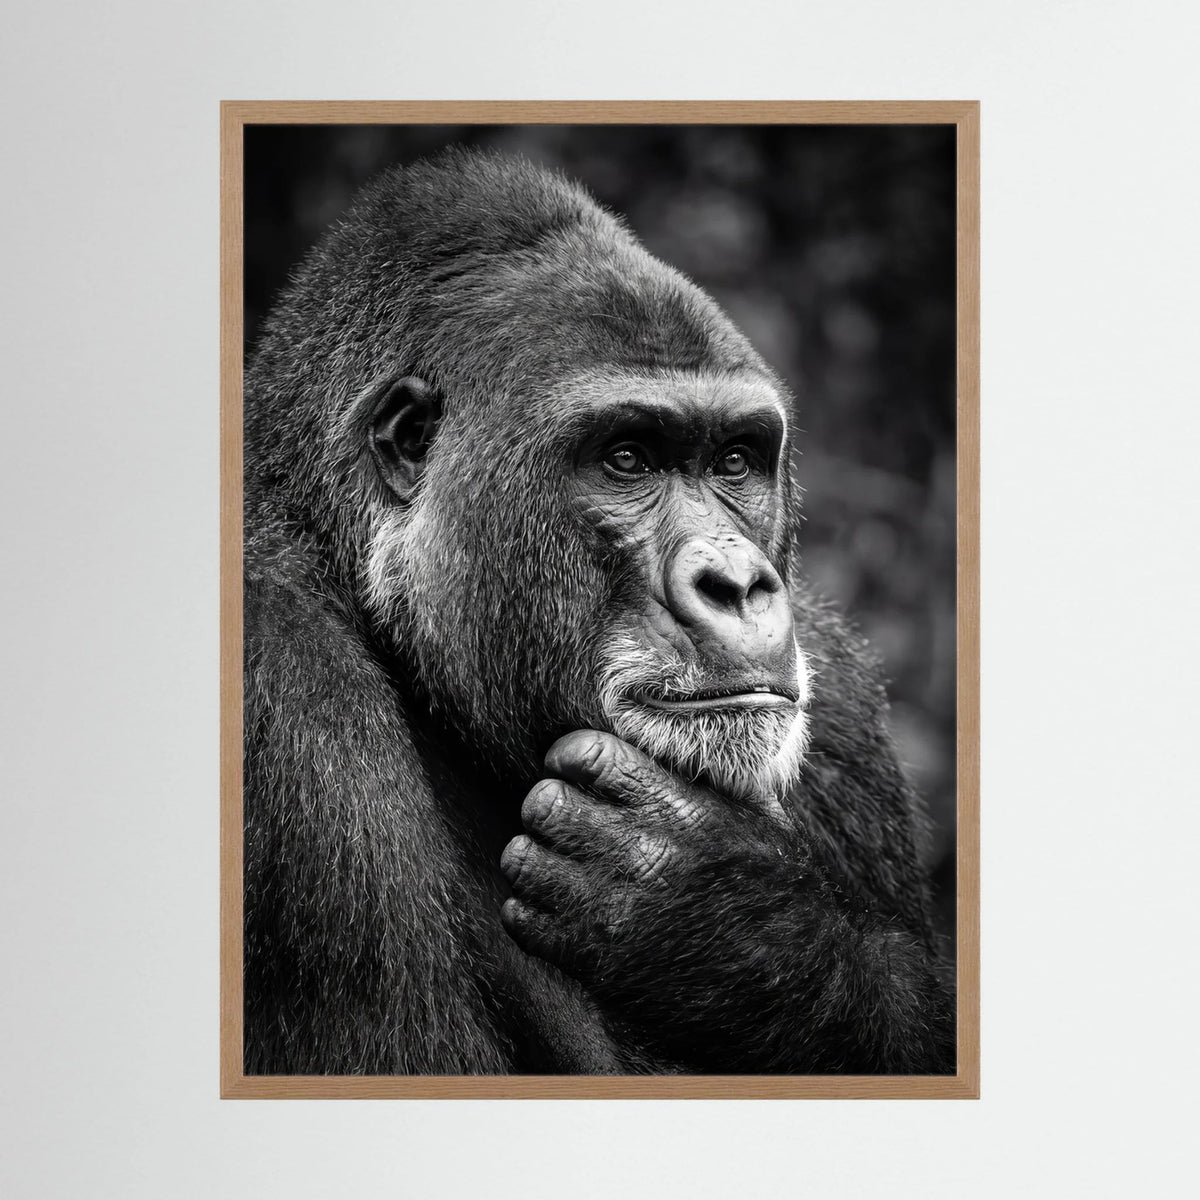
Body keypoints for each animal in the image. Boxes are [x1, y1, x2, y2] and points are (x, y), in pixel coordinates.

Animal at [242, 148, 955, 1075]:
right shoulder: (281, 691)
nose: (738, 583)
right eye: (627, 459)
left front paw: (732, 919)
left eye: (735, 460)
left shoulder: (842, 701)